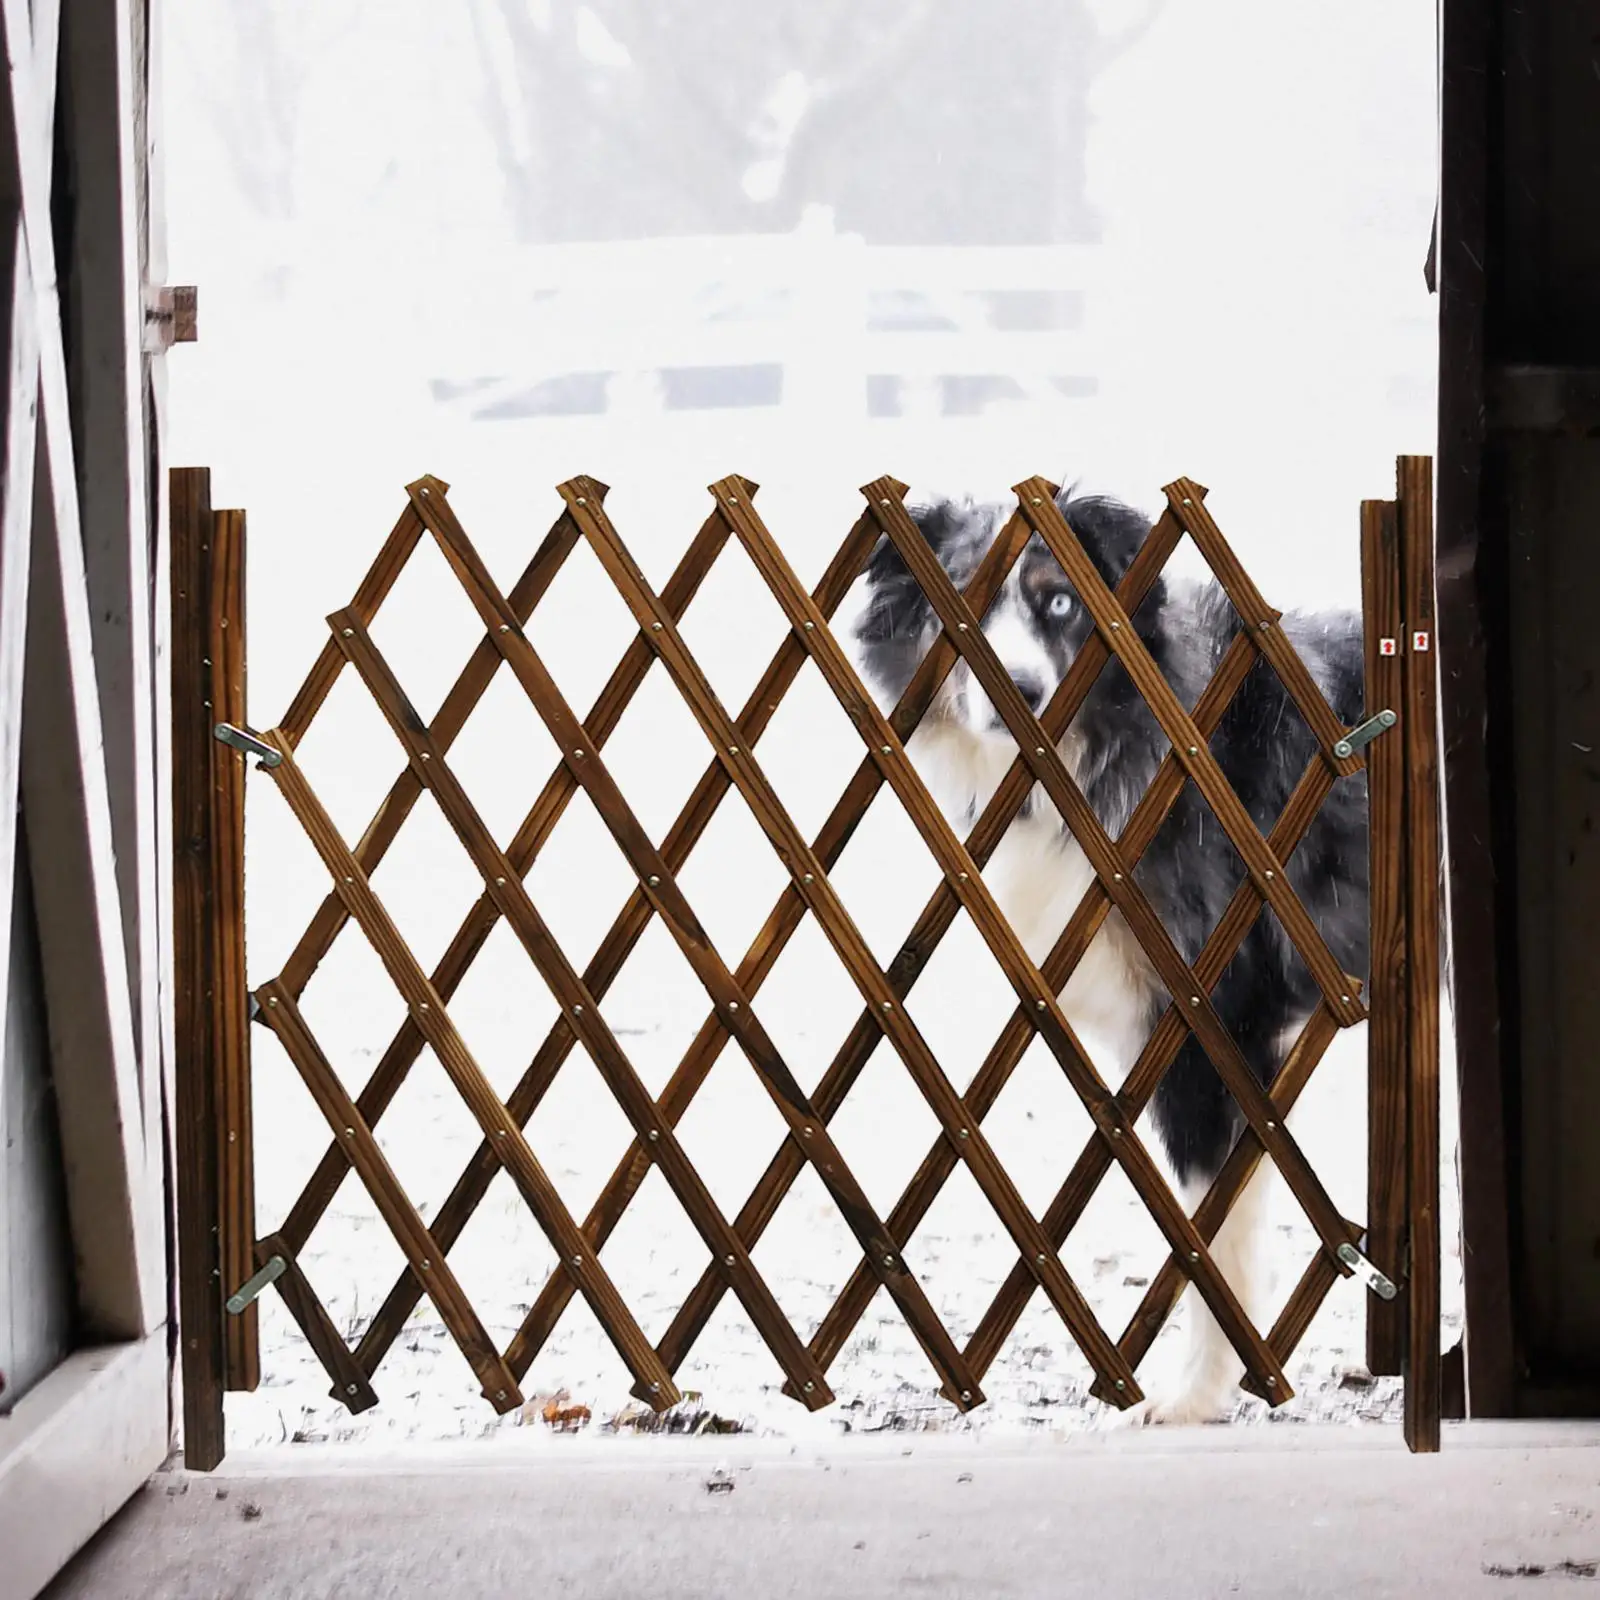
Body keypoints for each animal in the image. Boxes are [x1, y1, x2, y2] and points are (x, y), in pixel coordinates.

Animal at [857, 486, 1369, 1427]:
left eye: (1061, 603)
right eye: (960, 599)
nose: (1020, 691)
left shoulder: (1213, 1020)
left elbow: (1208, 1227)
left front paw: (1198, 1394)